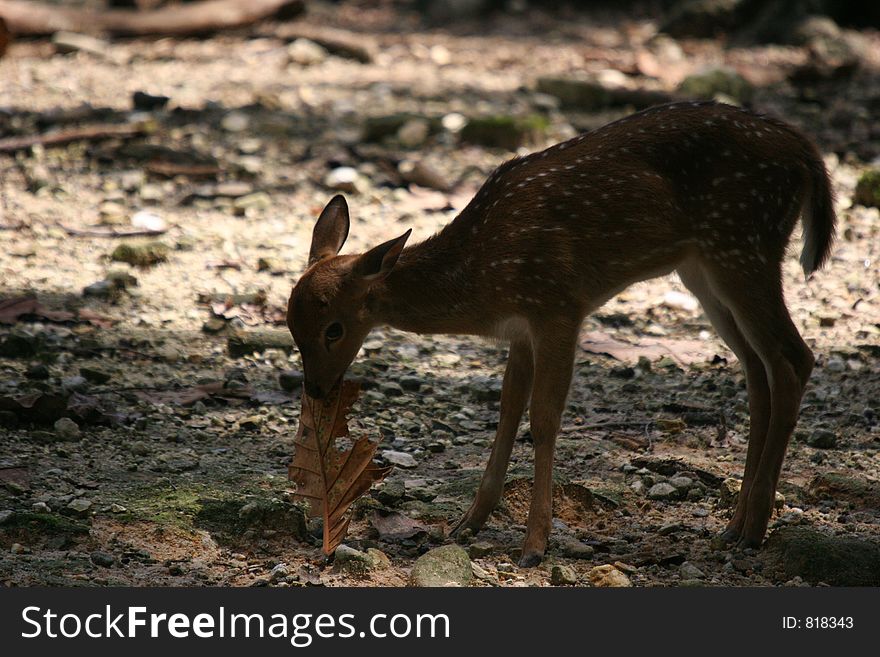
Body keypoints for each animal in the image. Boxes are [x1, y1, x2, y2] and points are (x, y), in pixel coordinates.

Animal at [286, 100, 836, 568]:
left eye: (334, 329)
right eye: (293, 329)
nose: (316, 388)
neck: (483, 272)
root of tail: (806, 152)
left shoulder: (558, 306)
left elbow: (545, 418)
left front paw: (534, 545)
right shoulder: (521, 327)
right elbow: (508, 409)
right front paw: (468, 523)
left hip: (742, 244)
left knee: (794, 358)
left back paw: (755, 528)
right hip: (705, 269)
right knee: (759, 370)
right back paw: (735, 524)